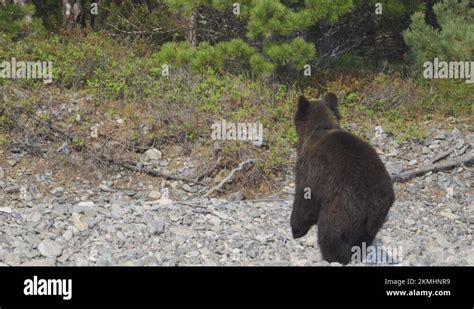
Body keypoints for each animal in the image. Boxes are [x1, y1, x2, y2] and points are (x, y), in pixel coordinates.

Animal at [290, 92, 394, 264]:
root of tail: (377, 201)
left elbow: (305, 199)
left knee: (330, 233)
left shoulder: (312, 170)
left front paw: (296, 229)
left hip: (343, 206)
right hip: (370, 221)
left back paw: (332, 256)